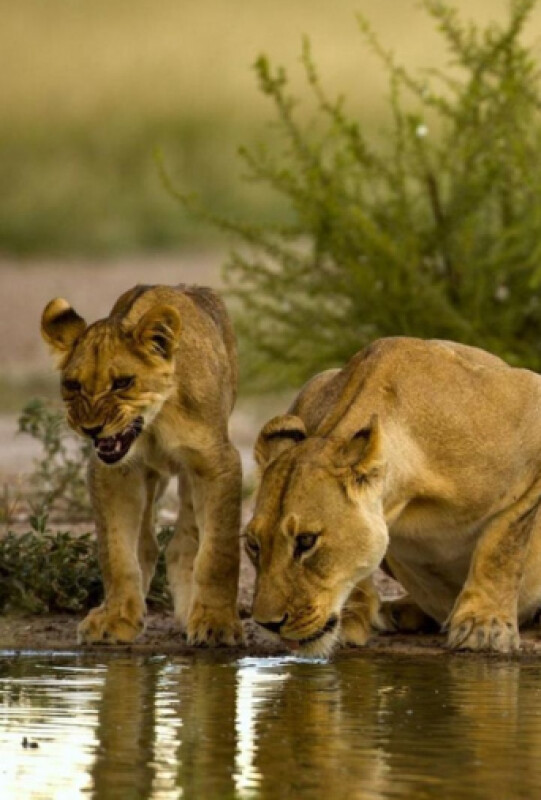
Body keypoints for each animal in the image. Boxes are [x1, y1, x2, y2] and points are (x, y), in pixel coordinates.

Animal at [41, 283, 242, 646]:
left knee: (186, 539)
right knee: (147, 541)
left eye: (122, 383)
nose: (91, 428)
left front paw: (217, 623)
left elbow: (218, 552)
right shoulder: (113, 472)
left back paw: (189, 608)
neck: (153, 423)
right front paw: (118, 617)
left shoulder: (217, 461)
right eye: (73, 385)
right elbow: (118, 552)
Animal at [245, 337, 541, 655]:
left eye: (306, 541)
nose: (267, 624)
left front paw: (483, 626)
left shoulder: (532, 401)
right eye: (253, 545)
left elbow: (502, 543)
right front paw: (354, 619)